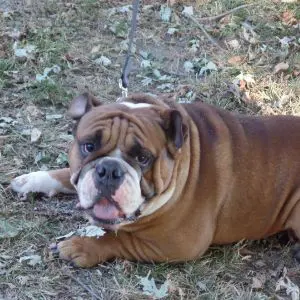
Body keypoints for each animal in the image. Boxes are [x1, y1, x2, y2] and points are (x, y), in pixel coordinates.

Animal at [10, 92, 300, 266]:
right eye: (89, 146)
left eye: (143, 158)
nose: (109, 170)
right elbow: (65, 174)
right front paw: (32, 180)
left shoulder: (178, 244)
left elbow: (118, 239)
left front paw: (81, 246)